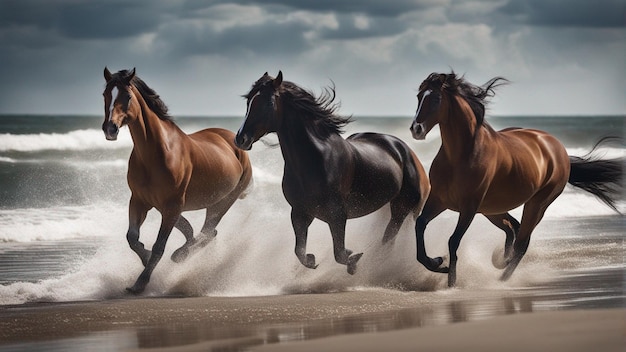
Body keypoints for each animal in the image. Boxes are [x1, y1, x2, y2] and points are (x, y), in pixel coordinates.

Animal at [102, 67, 251, 292]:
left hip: (221, 203)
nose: (110, 129)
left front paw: (140, 283)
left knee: (208, 232)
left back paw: (180, 256)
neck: (156, 154)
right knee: (200, 233)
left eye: (127, 96)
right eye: (105, 94)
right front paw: (144, 257)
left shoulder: (172, 205)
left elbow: (159, 246)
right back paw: (182, 253)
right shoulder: (140, 201)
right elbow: (132, 237)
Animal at [234, 72, 428, 276]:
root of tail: (406, 150)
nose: (240, 138)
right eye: (248, 101)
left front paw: (354, 261)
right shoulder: (300, 213)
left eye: (268, 102)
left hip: (403, 209)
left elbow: (340, 253)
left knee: (388, 240)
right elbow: (300, 252)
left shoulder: (337, 215)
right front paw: (313, 260)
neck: (314, 161)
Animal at [410, 71, 620, 286]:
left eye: (436, 99)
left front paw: (451, 281)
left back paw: (502, 279)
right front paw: (437, 263)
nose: (416, 129)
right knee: (513, 229)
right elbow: (420, 224)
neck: (460, 156)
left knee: (521, 242)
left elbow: (453, 240)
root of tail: (558, 148)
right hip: (491, 209)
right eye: (419, 97)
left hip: (536, 204)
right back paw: (501, 260)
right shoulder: (439, 200)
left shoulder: (469, 207)